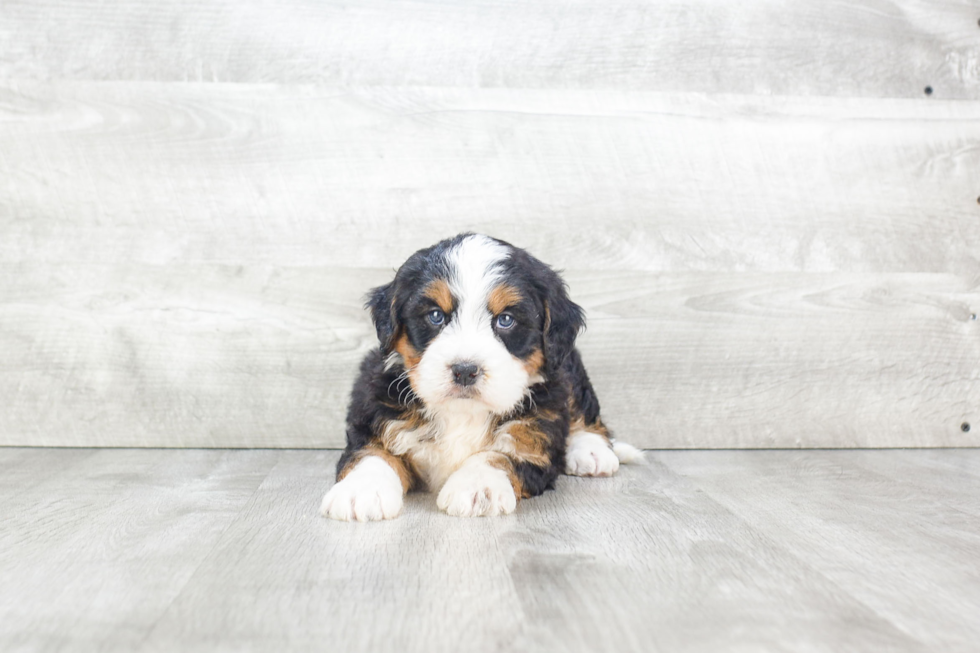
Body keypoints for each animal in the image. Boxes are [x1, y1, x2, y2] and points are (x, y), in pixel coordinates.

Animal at [322, 233, 644, 520]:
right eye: (436, 316)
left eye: (506, 320)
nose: (465, 370)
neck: (463, 412)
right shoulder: (376, 409)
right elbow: (372, 452)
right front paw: (361, 491)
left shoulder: (536, 437)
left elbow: (501, 454)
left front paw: (478, 487)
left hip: (569, 368)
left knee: (584, 410)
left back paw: (592, 451)